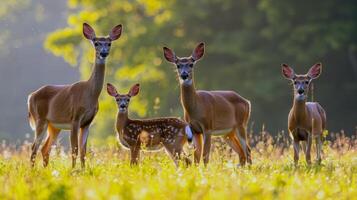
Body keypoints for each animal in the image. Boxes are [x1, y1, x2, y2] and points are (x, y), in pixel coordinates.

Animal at [27, 22, 122, 168]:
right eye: (96, 43)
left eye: (109, 43)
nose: (103, 53)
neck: (90, 94)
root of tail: (30, 96)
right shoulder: (75, 118)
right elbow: (74, 150)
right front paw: (73, 170)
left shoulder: (87, 122)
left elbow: (83, 151)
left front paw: (83, 170)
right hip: (40, 119)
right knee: (34, 148)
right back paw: (33, 170)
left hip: (54, 125)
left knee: (45, 148)